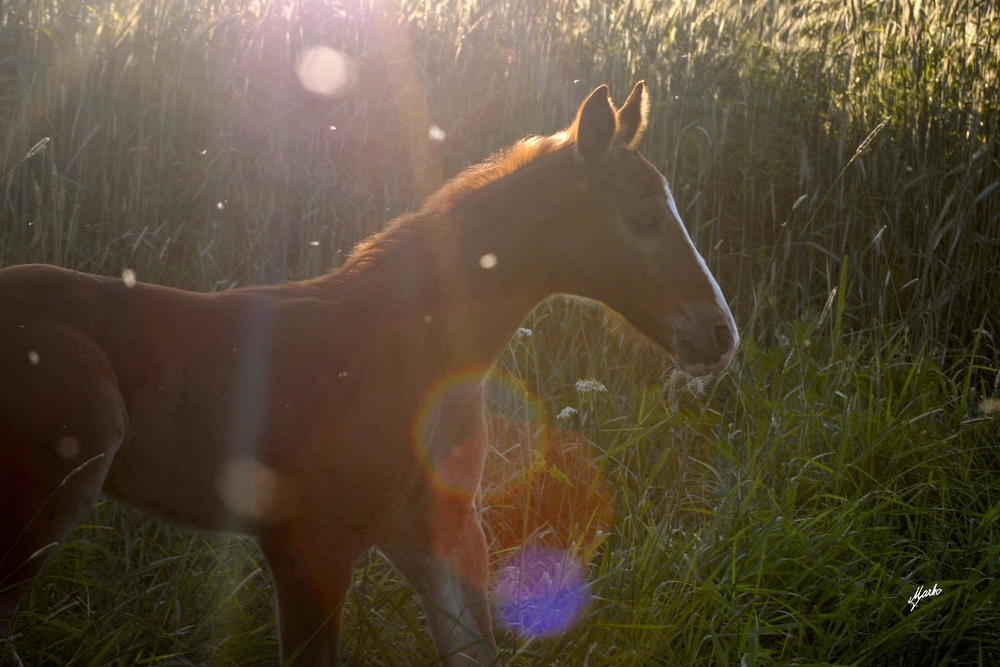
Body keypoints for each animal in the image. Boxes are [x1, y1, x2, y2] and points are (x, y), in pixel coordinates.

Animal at [0, 85, 736, 667]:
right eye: (644, 220)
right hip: (45, 496)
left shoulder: (439, 535)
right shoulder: (308, 547)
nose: (720, 333)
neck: (407, 356)